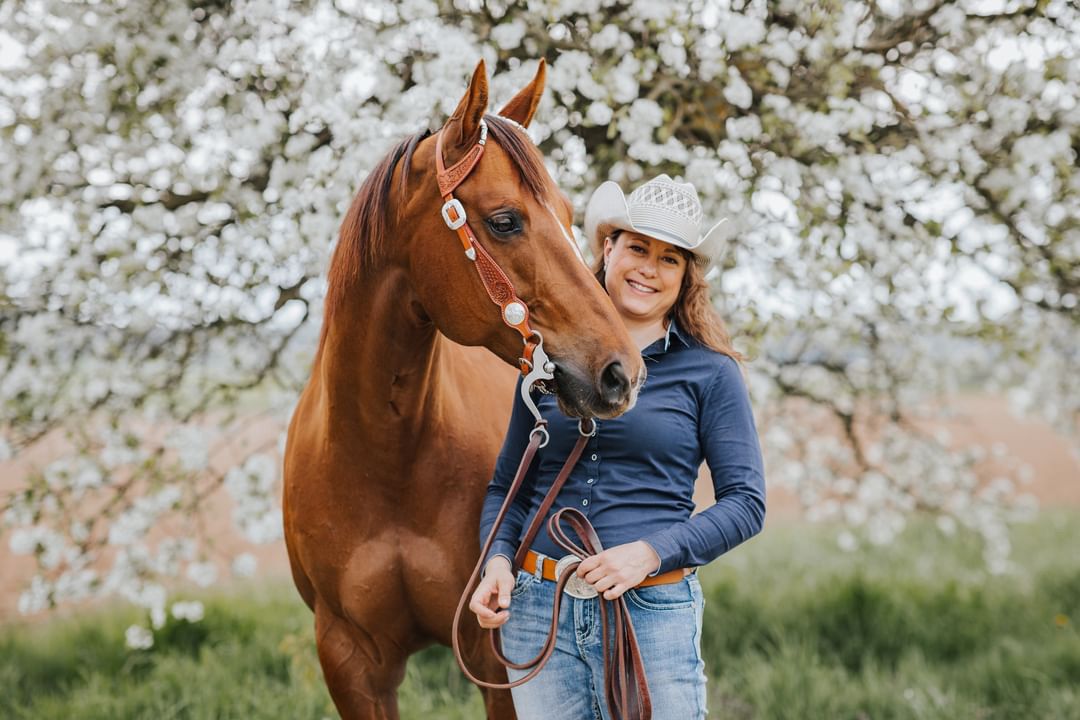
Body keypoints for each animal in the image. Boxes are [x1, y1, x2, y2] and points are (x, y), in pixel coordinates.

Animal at [282, 62, 643, 720]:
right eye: (504, 220)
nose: (620, 372)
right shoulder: (349, 660)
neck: (385, 455)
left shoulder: (493, 651)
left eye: (568, 213)